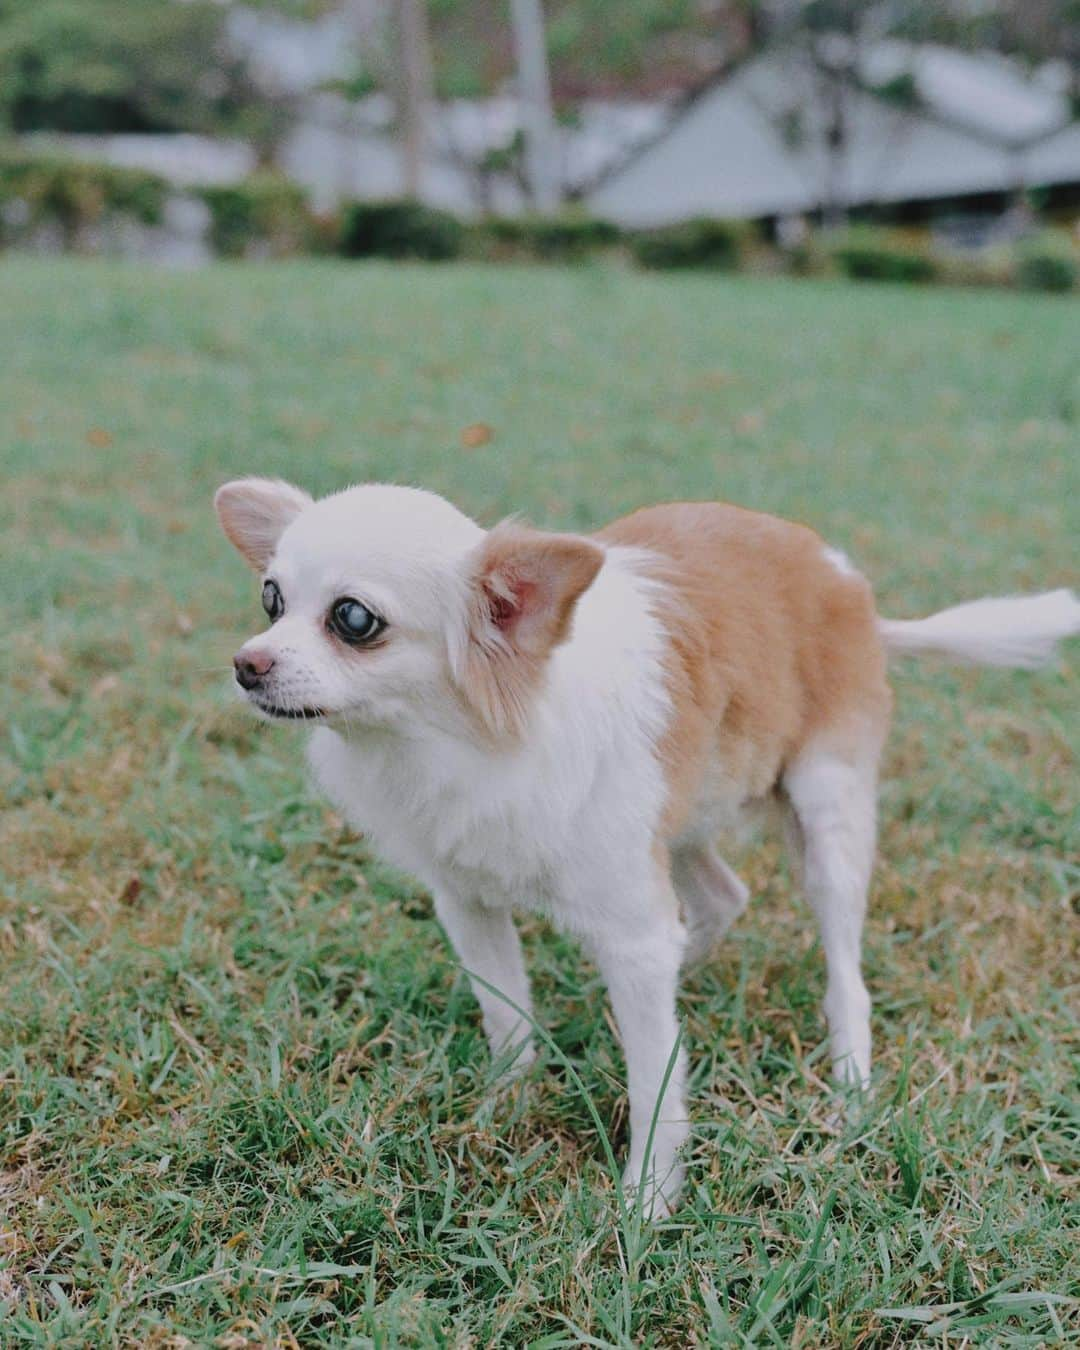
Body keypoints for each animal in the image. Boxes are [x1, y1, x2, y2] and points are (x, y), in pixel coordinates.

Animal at [213, 480, 1080, 1220]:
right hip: (681, 808)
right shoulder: (470, 902)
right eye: (271, 598)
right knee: (722, 898)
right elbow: (509, 1020)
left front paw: (647, 1204)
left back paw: (850, 1085)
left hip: (823, 813)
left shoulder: (630, 922)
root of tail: (848, 587)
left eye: (354, 620)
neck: (464, 739)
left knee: (845, 974)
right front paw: (504, 1107)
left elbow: (653, 1082)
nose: (247, 663)